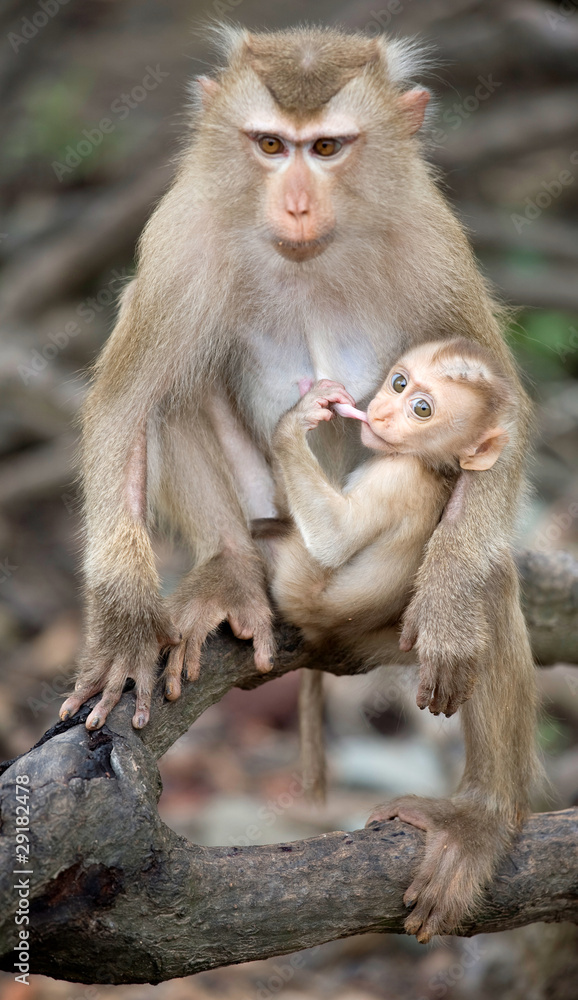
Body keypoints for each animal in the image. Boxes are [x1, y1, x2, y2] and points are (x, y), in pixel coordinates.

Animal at [258, 340, 510, 792]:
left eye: (422, 410)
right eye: (399, 383)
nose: (380, 412)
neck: (427, 463)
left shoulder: (396, 475)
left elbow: (334, 539)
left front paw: (298, 417)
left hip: (296, 585)